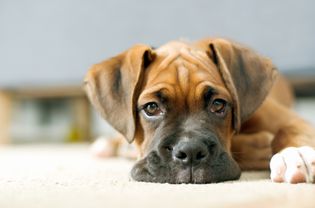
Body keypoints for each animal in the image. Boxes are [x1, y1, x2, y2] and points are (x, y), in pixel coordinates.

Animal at [84, 37, 315, 184]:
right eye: (151, 108)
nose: (191, 151)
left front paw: (295, 154)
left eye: (218, 104)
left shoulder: (293, 120)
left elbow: (287, 131)